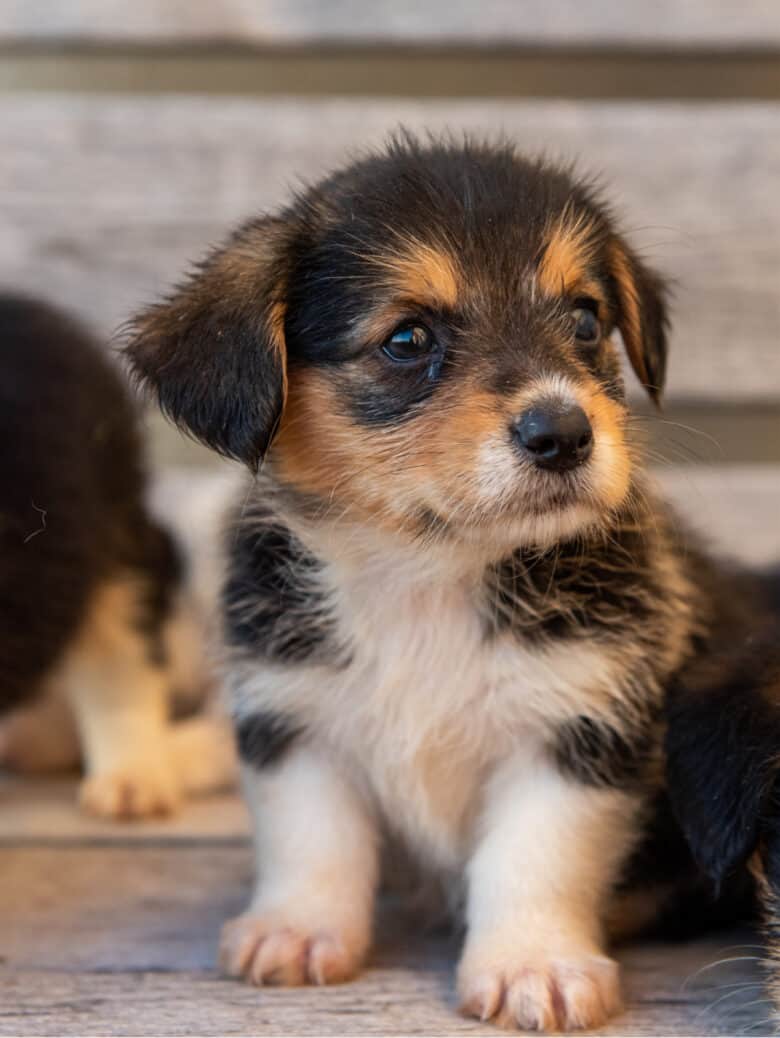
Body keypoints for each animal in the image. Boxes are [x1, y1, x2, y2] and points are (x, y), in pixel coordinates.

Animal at [126, 135, 756, 1029]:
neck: (427, 570)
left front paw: (534, 965)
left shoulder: (579, 729)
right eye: (407, 339)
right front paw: (299, 930)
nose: (564, 433)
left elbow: (532, 858)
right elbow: (311, 839)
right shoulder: (295, 717)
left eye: (586, 319)